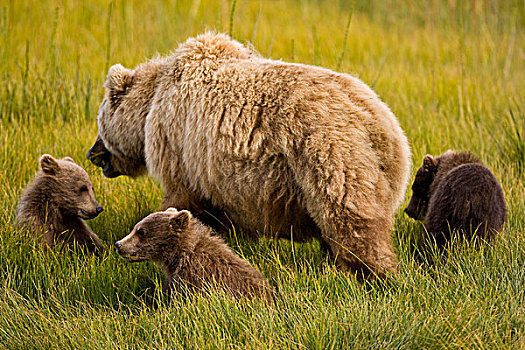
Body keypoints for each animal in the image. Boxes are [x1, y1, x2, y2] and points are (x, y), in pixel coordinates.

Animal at [88, 32, 412, 278]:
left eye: (99, 121)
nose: (92, 153)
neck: (152, 105)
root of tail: (383, 125)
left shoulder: (182, 151)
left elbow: (183, 200)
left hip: (328, 154)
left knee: (349, 222)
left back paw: (367, 274)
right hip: (377, 171)